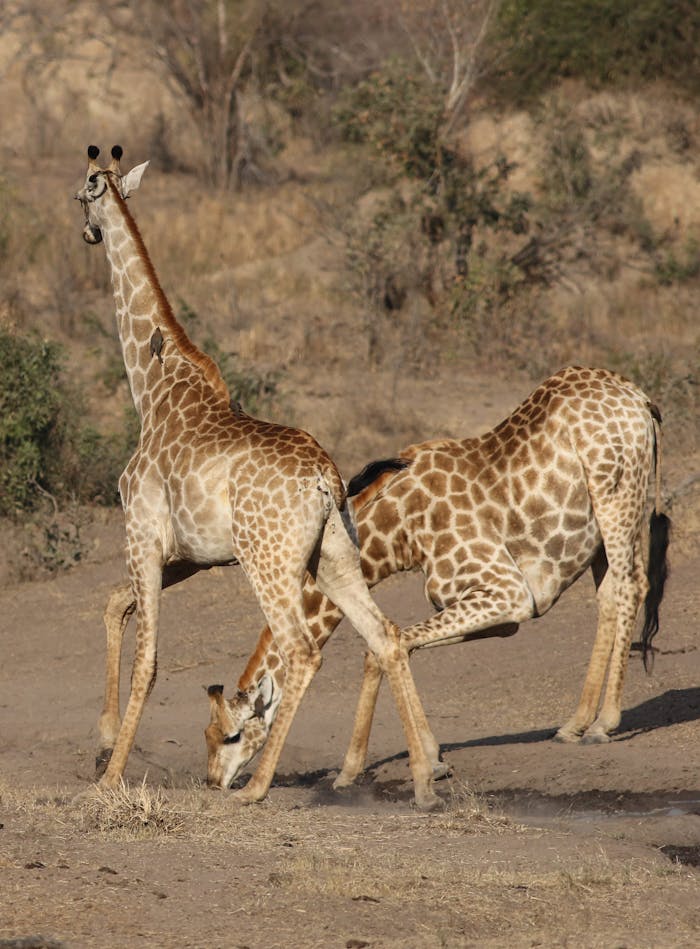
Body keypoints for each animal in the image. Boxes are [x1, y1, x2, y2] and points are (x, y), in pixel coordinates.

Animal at [75, 145, 442, 809]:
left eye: (79, 194)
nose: (88, 232)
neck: (151, 390)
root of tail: (325, 476)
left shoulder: (142, 537)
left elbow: (149, 659)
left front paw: (111, 775)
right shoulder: (190, 555)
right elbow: (117, 604)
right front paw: (104, 739)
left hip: (269, 562)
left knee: (300, 650)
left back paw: (257, 787)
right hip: (334, 556)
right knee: (385, 635)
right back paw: (426, 781)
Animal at [196, 366, 670, 789]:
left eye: (230, 736)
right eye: (207, 735)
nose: (215, 781)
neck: (400, 533)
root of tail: (642, 401)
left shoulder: (507, 592)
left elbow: (389, 645)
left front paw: (406, 763)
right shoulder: (492, 613)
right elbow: (387, 649)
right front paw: (385, 765)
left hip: (617, 498)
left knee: (631, 586)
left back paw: (603, 724)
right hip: (603, 529)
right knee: (610, 594)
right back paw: (576, 722)